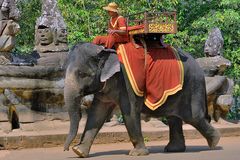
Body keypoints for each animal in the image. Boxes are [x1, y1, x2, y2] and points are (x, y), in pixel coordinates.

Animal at [62, 42, 220, 158]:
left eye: (82, 74)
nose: (66, 149)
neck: (105, 49)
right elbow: (97, 114)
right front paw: (79, 152)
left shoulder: (126, 83)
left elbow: (130, 113)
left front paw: (137, 154)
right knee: (174, 117)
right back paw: (174, 149)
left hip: (193, 85)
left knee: (193, 117)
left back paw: (214, 143)